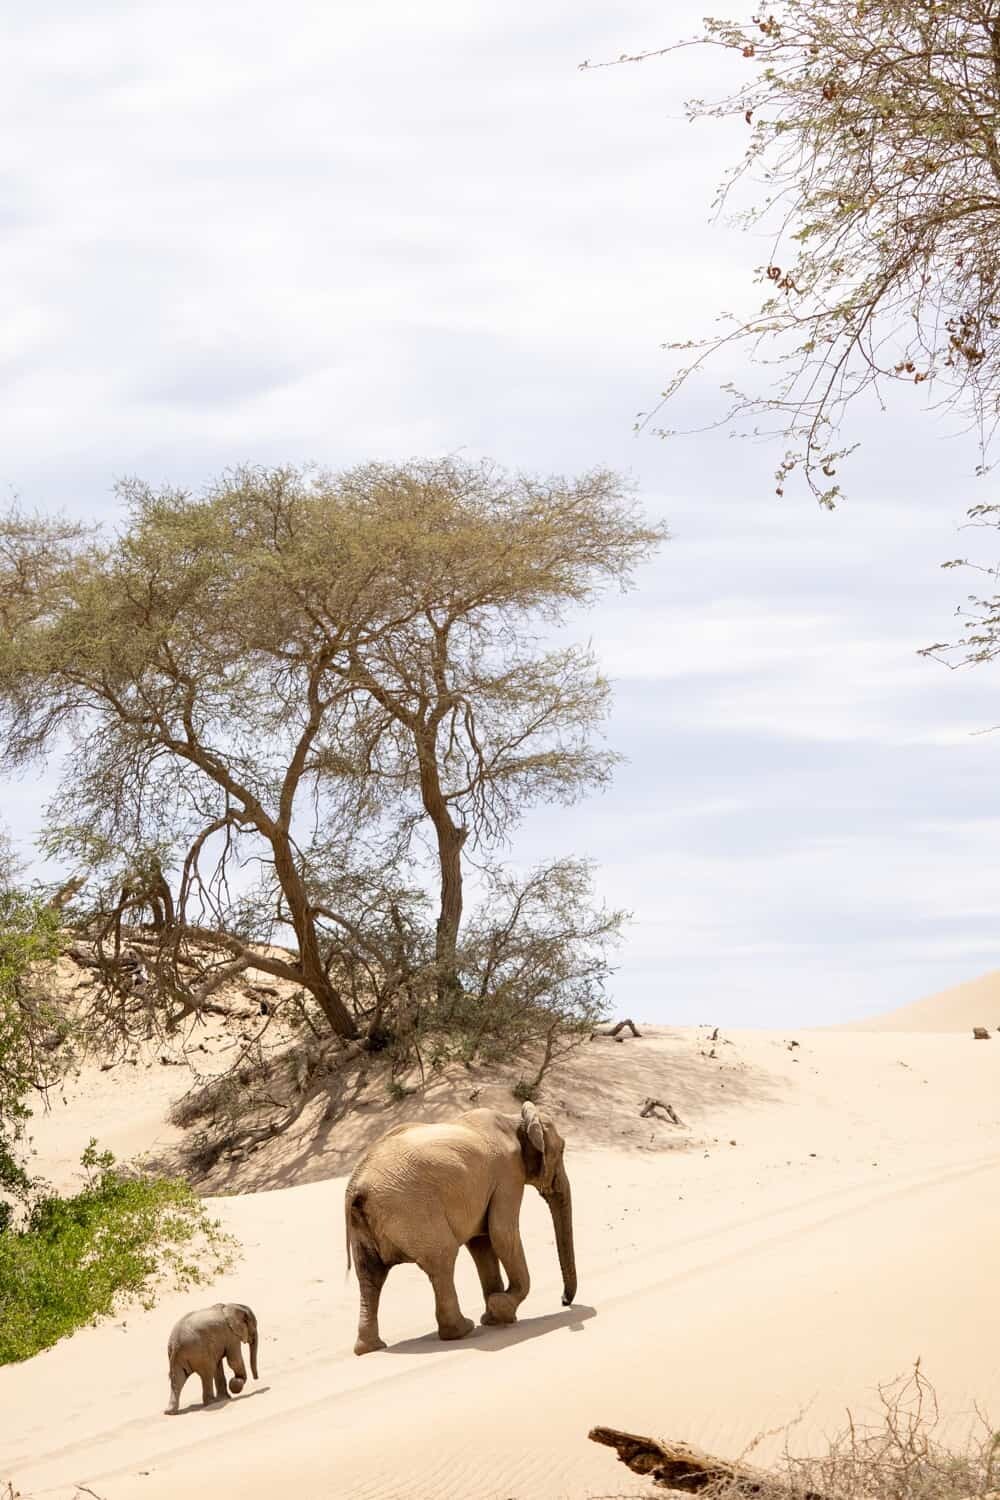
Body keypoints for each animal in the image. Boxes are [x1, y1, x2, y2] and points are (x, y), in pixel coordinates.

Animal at [346, 1098, 575, 1356]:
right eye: (562, 1150)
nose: (564, 1301)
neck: (515, 1119)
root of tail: (356, 1186)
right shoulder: (508, 1175)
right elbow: (502, 1234)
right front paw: (500, 1307)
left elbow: (482, 1243)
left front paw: (495, 1317)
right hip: (411, 1210)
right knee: (442, 1259)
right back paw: (462, 1330)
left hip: (365, 1225)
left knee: (369, 1275)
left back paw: (369, 1347)